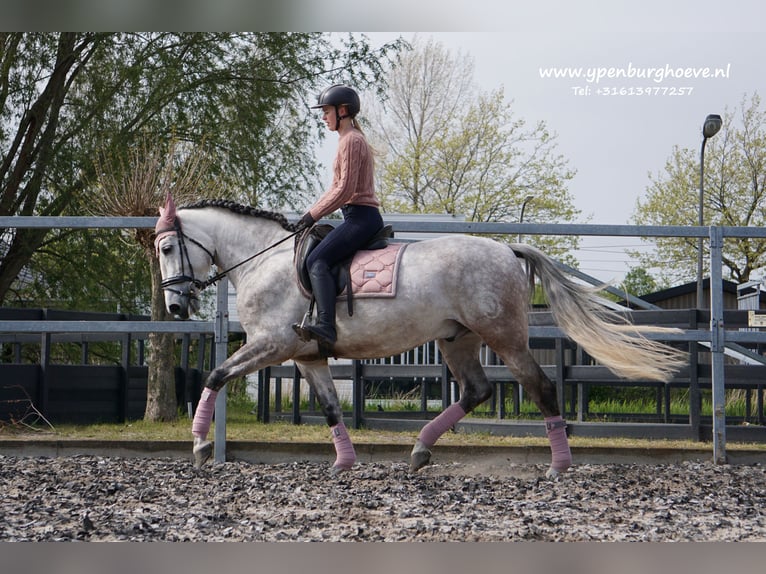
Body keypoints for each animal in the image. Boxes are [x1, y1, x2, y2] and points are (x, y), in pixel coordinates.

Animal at [154, 196, 684, 480]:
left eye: (165, 247)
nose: (176, 307)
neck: (264, 259)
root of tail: (506, 249)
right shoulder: (308, 357)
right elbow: (331, 407)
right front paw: (344, 463)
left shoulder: (272, 345)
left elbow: (216, 375)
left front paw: (199, 445)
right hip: (457, 340)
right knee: (476, 390)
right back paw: (420, 449)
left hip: (504, 337)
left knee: (540, 387)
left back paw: (558, 466)